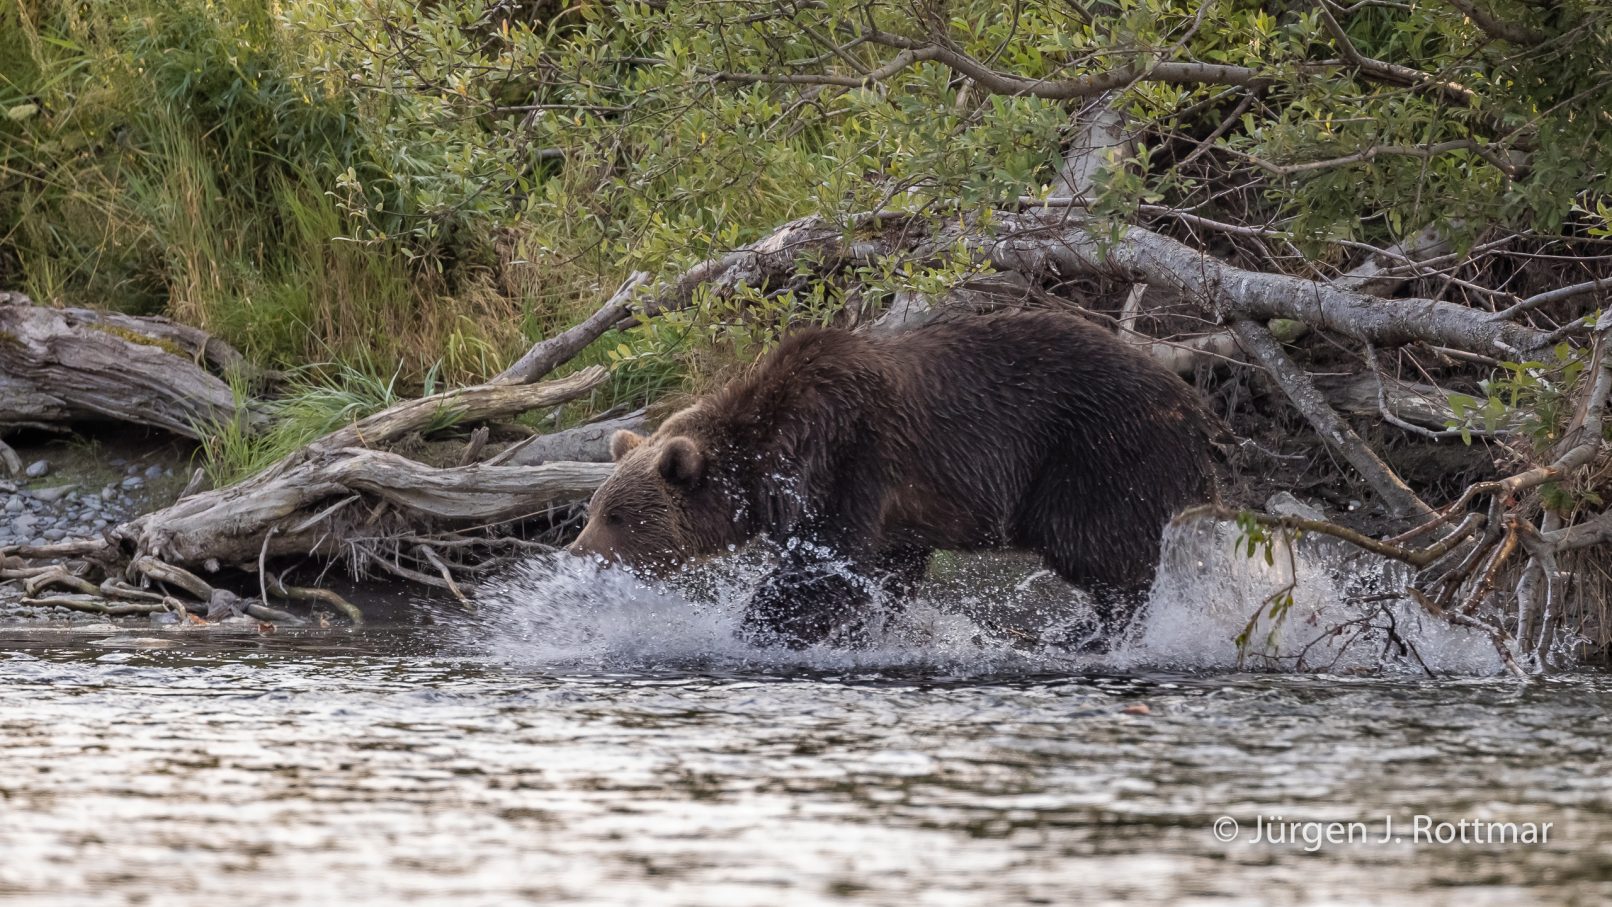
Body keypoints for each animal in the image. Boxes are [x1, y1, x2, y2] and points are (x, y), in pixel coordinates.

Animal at [568, 308, 1218, 648]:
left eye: (618, 516)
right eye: (592, 510)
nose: (576, 554)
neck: (769, 463)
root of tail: (1195, 403)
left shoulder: (848, 462)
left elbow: (824, 570)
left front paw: (756, 629)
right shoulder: (898, 514)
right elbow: (886, 574)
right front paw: (866, 631)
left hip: (1097, 453)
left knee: (1100, 550)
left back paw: (1088, 633)